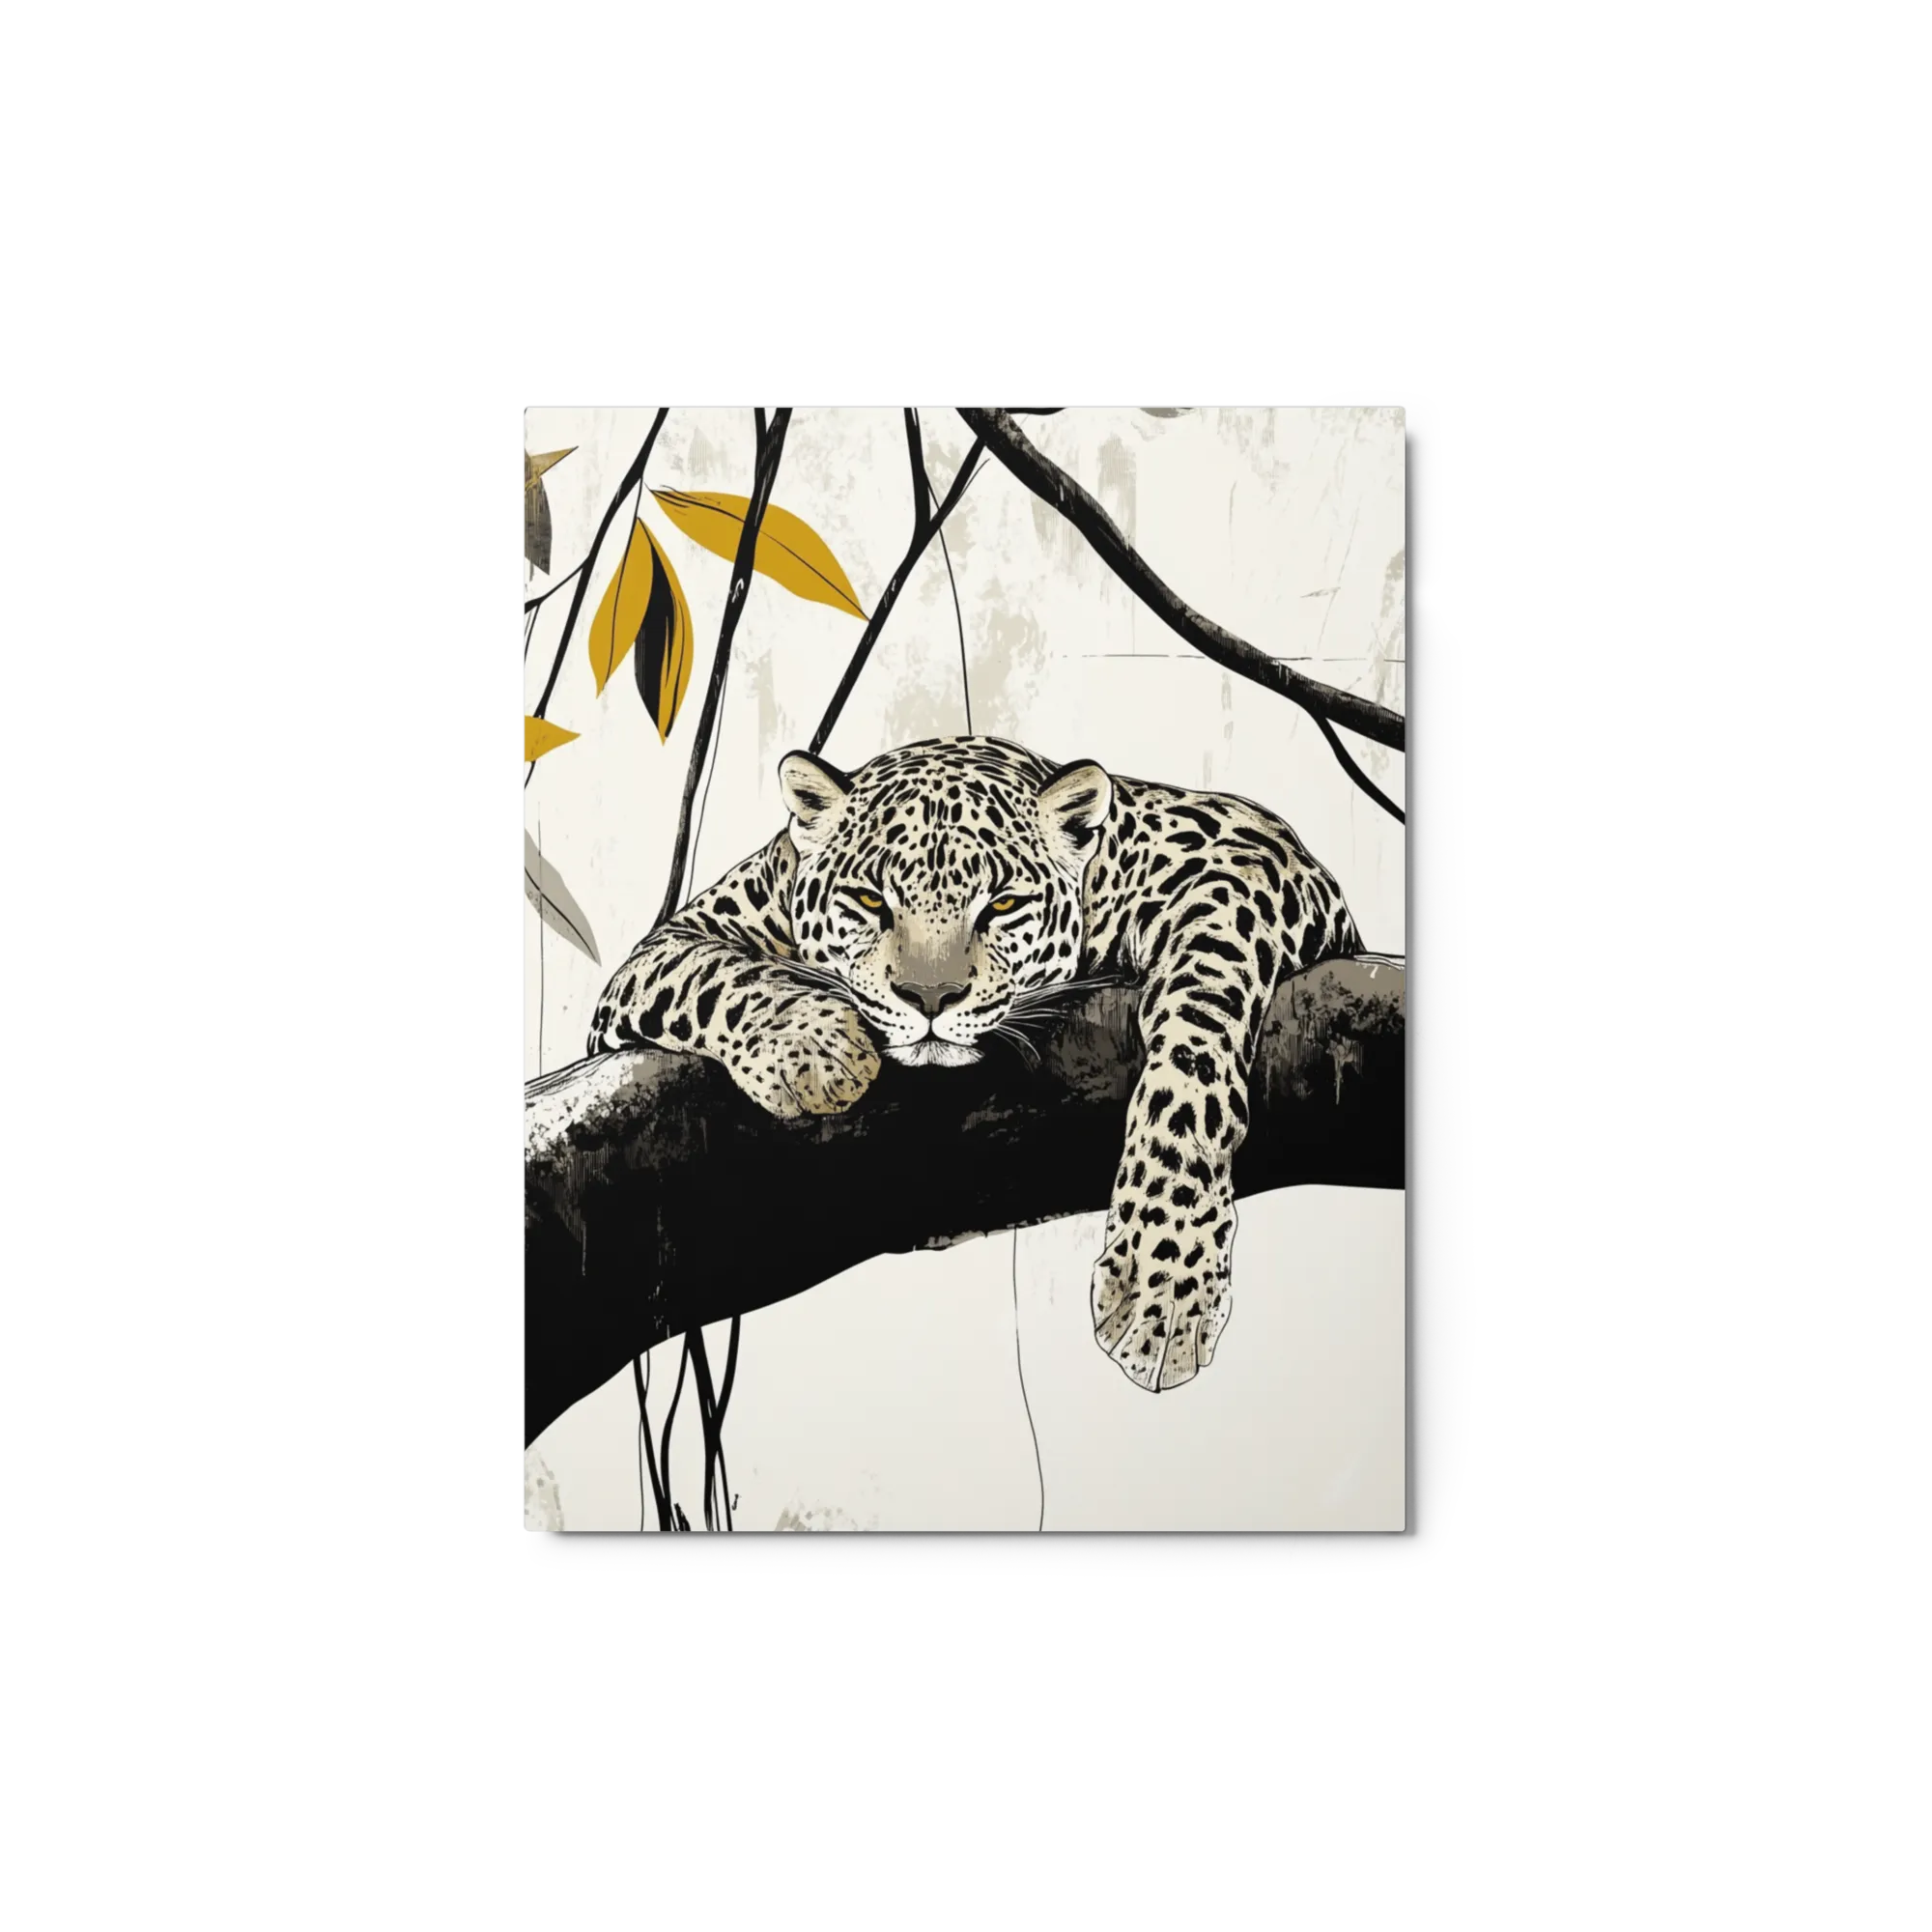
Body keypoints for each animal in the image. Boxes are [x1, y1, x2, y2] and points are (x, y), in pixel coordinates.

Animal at [587, 735, 1362, 1393]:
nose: (929, 997)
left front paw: (1160, 1282)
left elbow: (1197, 1026)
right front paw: (816, 1048)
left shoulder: (1250, 851)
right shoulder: (664, 949)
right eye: (869, 899)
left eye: (1004, 903)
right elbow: (714, 975)